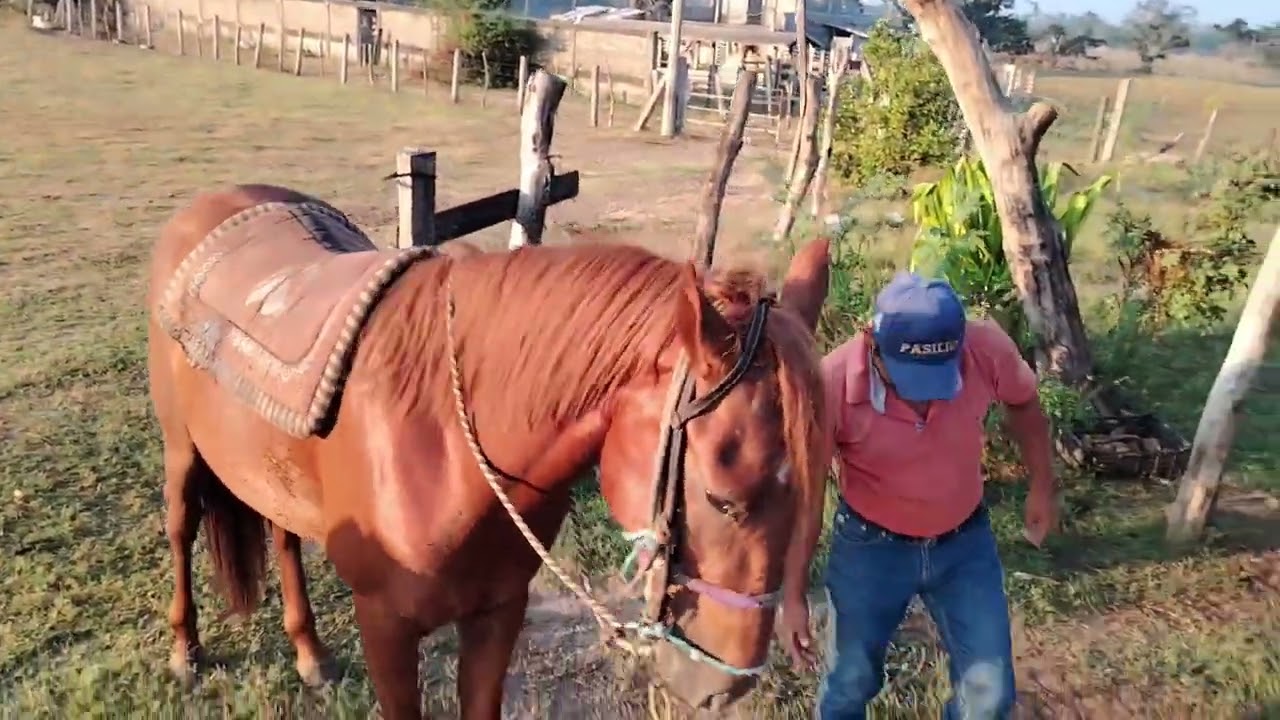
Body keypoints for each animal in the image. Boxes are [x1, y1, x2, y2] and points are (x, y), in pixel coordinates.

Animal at [145, 184, 833, 718]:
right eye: (723, 500)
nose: (724, 689)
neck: (443, 440)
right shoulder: (385, 628)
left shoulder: (501, 612)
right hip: (181, 451)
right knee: (181, 527)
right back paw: (185, 653)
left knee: (284, 536)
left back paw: (310, 654)